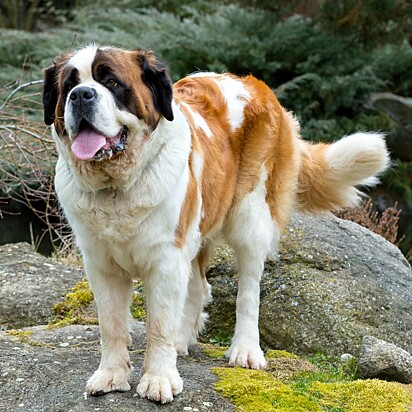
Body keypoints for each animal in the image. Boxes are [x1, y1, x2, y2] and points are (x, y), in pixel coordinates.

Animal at [41, 45, 390, 402]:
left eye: (111, 82)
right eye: (70, 85)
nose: (81, 95)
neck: (117, 187)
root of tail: (253, 84)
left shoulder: (166, 259)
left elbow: (159, 325)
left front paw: (159, 378)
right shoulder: (101, 264)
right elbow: (111, 324)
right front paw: (111, 375)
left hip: (250, 218)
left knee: (248, 291)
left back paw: (245, 349)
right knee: (198, 287)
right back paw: (183, 341)